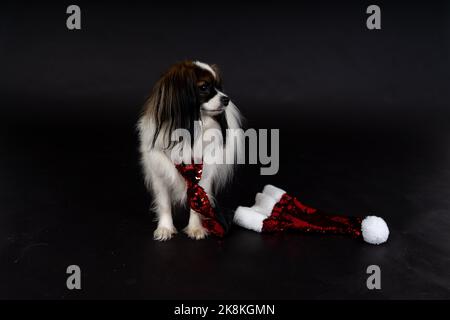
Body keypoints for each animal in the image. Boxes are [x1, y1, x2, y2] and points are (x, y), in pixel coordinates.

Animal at [137, 60, 243, 240]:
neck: (191, 128)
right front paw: (165, 228)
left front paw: (195, 228)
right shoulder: (160, 173)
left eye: (219, 86)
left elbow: (197, 202)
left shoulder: (201, 175)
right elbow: (164, 203)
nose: (226, 99)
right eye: (204, 87)